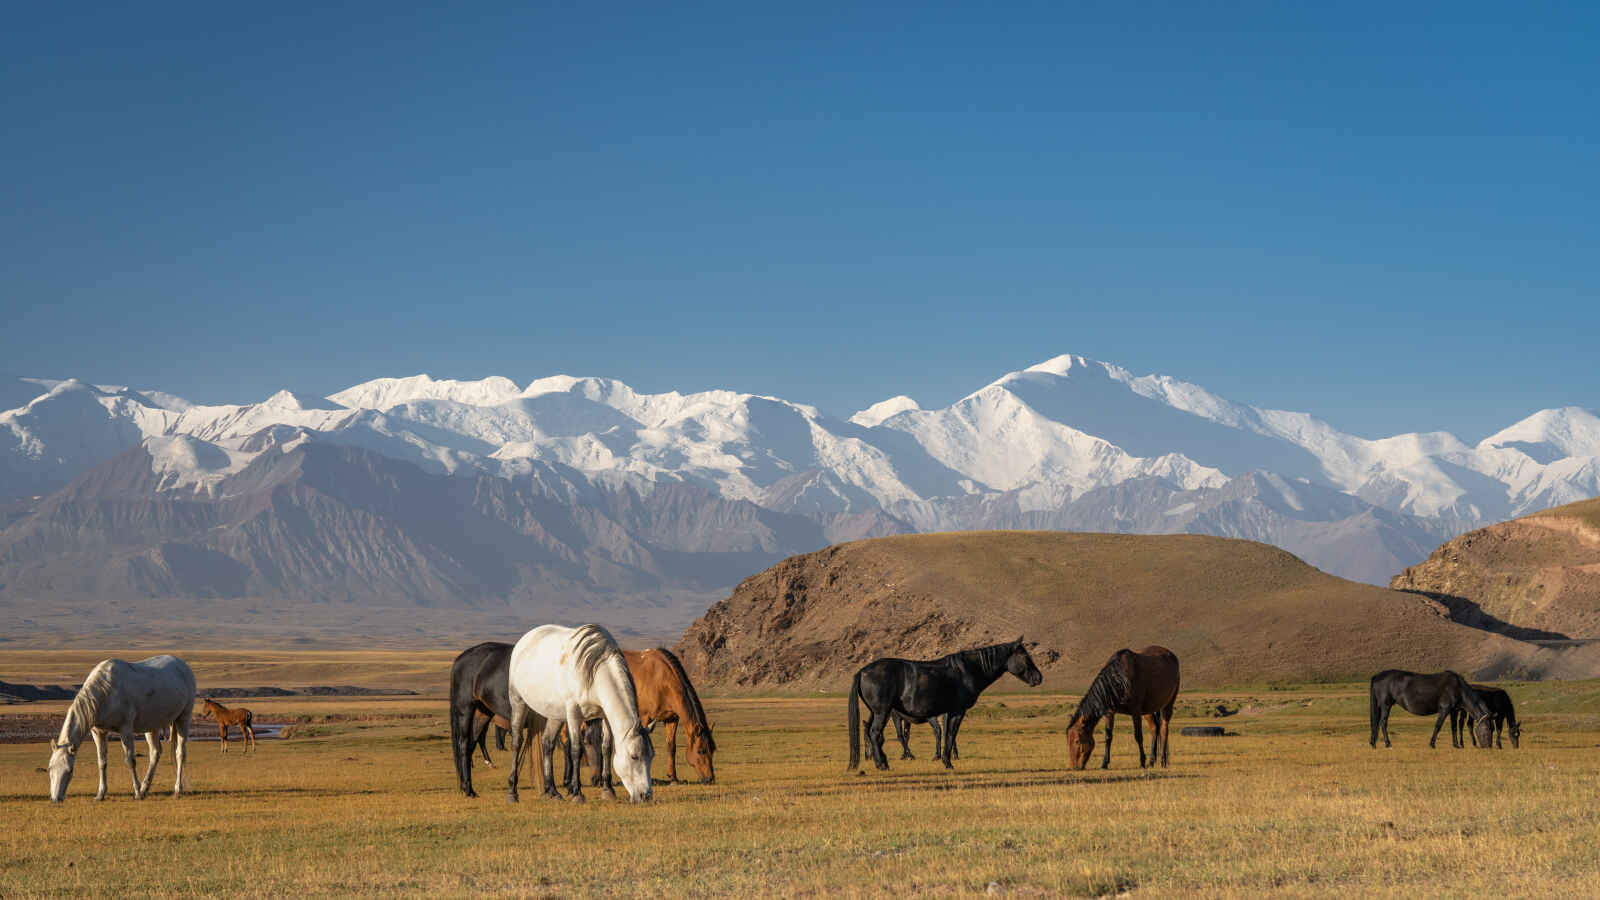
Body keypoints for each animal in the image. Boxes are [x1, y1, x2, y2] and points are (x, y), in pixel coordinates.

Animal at [47, 655, 196, 802]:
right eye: (50, 768)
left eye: (70, 770)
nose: (56, 799)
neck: (106, 691)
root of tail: (183, 665)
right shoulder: (98, 732)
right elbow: (102, 762)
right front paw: (101, 794)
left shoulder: (125, 730)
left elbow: (130, 760)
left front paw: (137, 793)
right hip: (152, 726)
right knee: (155, 753)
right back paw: (145, 788)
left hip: (183, 718)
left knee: (180, 753)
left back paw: (177, 789)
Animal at [506, 624, 655, 803]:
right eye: (634, 756)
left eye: (651, 757)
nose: (646, 795)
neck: (595, 672)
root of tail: (525, 639)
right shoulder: (573, 714)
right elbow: (576, 750)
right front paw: (577, 793)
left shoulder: (605, 715)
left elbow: (606, 747)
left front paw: (608, 790)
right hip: (518, 701)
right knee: (516, 742)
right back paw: (512, 792)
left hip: (555, 715)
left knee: (547, 743)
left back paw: (552, 791)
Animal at [847, 636, 1043, 772]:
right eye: (1025, 657)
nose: (1039, 678)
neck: (969, 670)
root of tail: (862, 672)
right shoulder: (957, 711)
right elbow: (950, 735)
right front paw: (948, 763)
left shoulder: (947, 713)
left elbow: (947, 735)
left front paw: (944, 759)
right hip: (883, 712)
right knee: (875, 733)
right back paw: (882, 764)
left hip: (876, 712)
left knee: (872, 733)